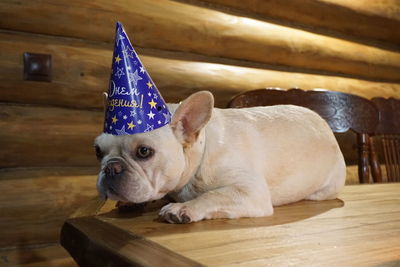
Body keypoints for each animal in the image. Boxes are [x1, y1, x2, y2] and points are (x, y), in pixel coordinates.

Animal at [95, 91, 346, 224]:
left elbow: (214, 195)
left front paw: (182, 208)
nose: (110, 168)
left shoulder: (249, 191)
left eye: (144, 151)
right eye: (98, 150)